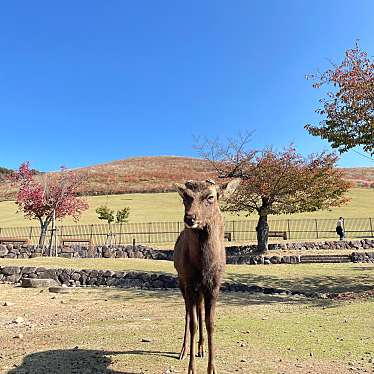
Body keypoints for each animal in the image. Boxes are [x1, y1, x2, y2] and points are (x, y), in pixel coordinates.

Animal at [173, 179, 238, 374]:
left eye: (210, 196)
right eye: (186, 196)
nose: (190, 218)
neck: (204, 266)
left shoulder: (214, 285)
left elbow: (210, 323)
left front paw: (212, 368)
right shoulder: (189, 282)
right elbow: (193, 323)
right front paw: (191, 368)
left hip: (201, 289)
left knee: (199, 309)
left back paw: (201, 347)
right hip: (182, 282)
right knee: (188, 312)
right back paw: (183, 350)